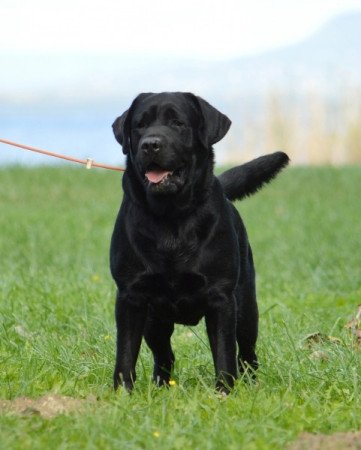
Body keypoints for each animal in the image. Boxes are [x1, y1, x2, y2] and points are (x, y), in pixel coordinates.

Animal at [111, 93, 288, 392]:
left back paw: (251, 384)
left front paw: (225, 392)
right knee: (164, 355)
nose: (150, 144)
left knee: (247, 353)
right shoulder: (130, 296)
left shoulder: (221, 298)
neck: (171, 217)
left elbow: (224, 353)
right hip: (154, 320)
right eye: (140, 125)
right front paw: (122, 394)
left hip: (246, 307)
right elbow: (125, 354)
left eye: (178, 123)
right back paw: (161, 386)